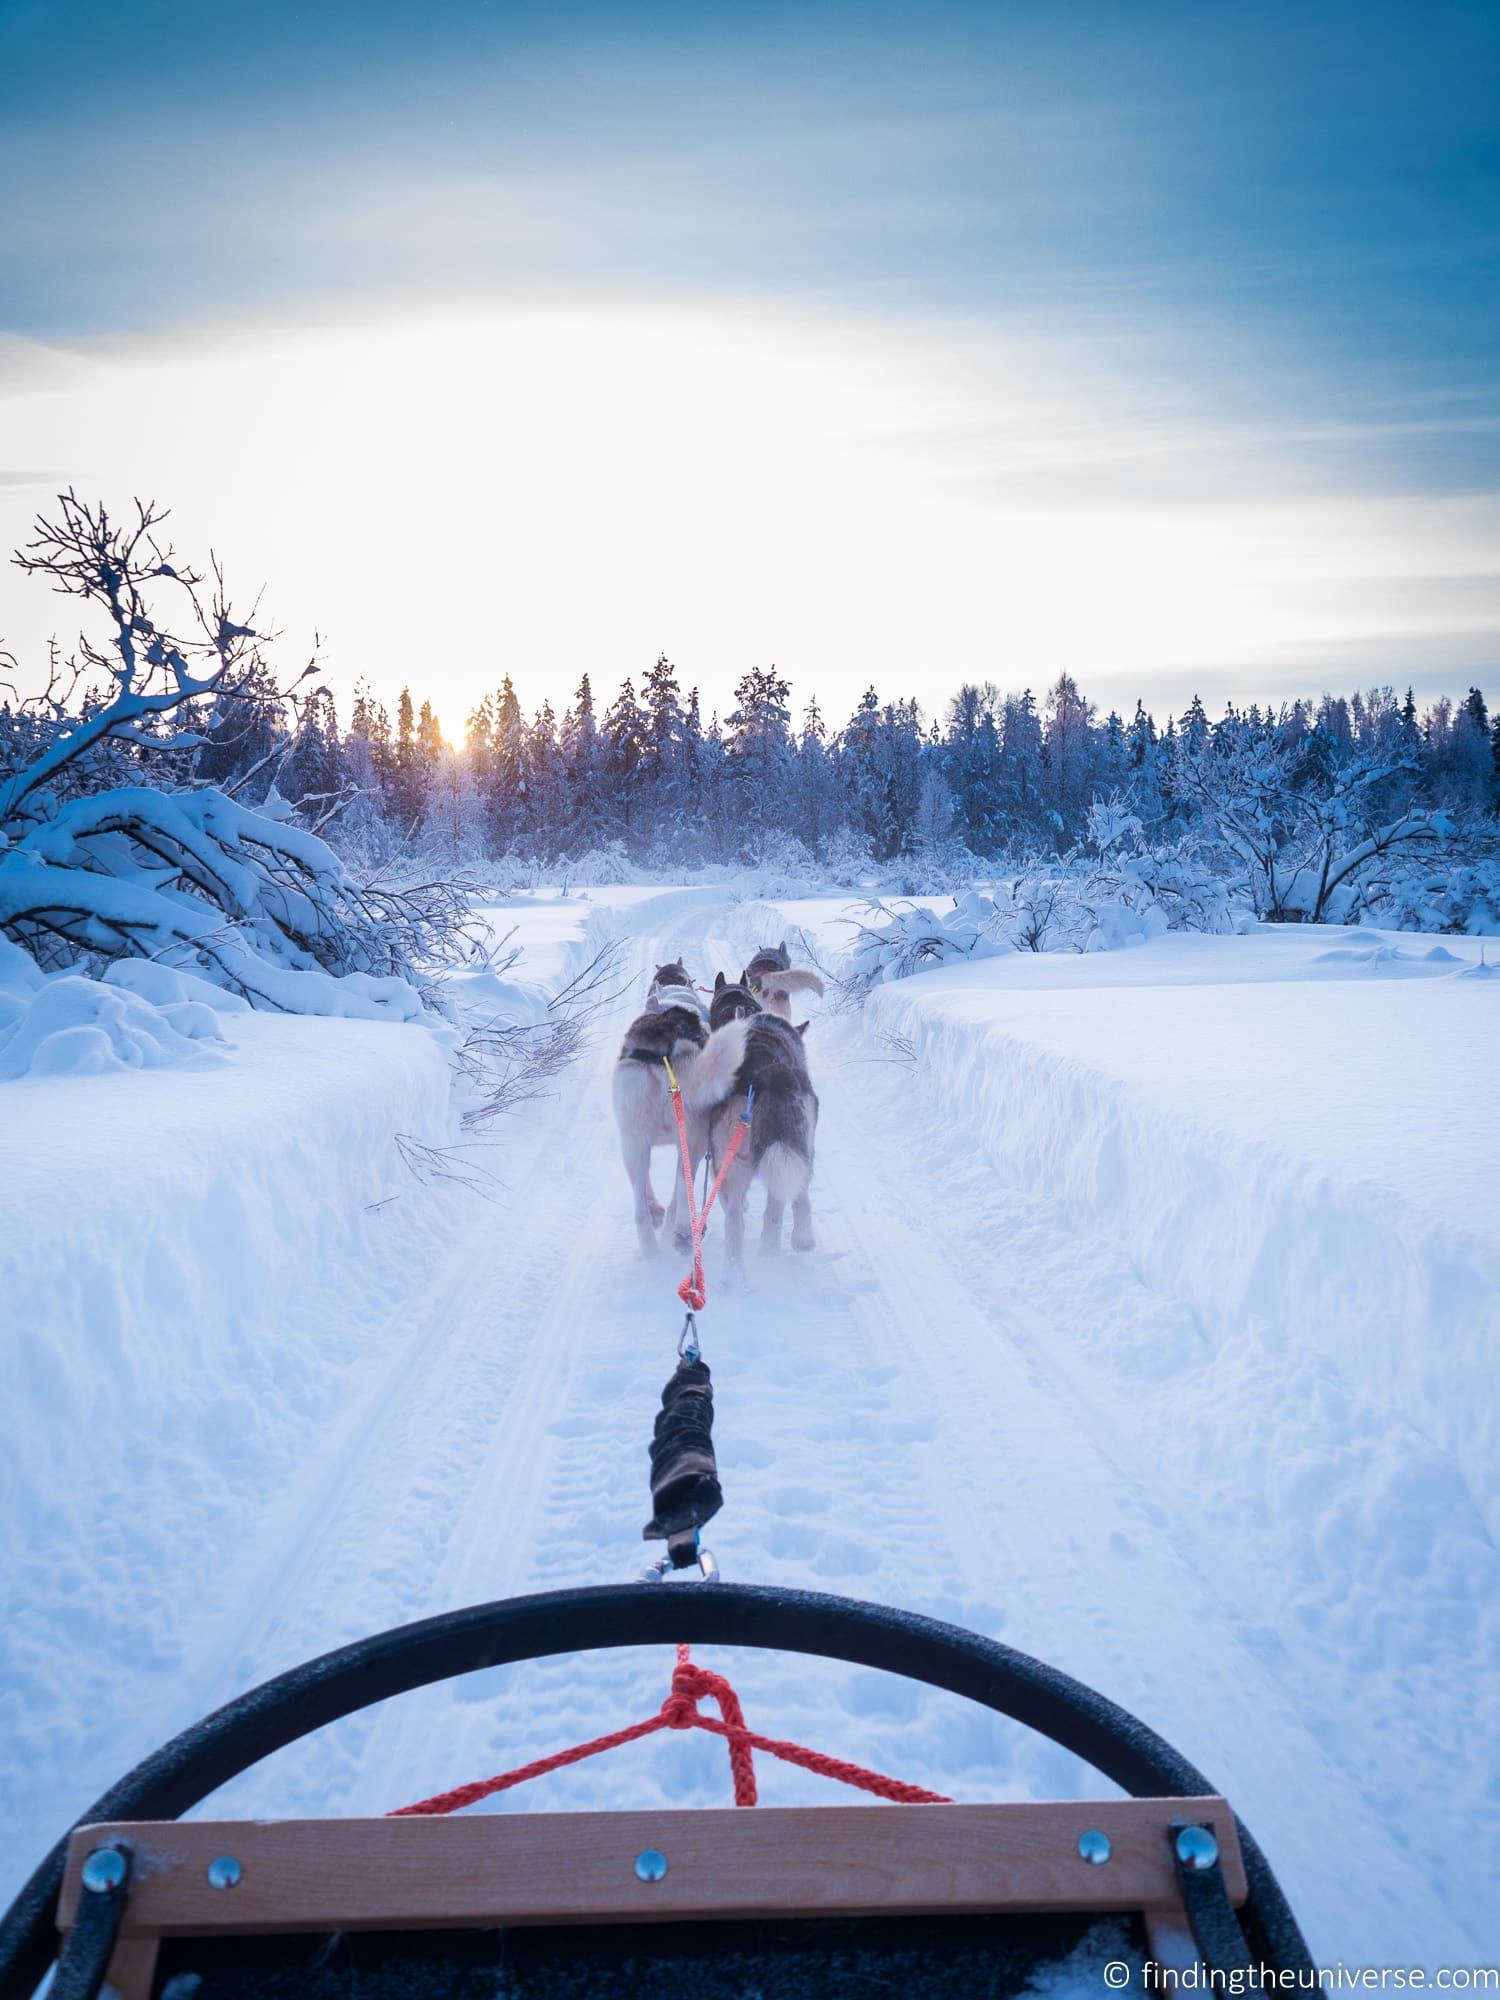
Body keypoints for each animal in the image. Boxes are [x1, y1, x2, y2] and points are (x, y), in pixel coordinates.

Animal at [616, 968, 748, 1248]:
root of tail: (664, 1058)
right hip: (691, 1142)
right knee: (680, 1191)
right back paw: (680, 1231)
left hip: (634, 1140)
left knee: (642, 1207)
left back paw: (653, 1242)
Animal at [708, 976, 816, 1256]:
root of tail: (765, 1074)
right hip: (798, 1148)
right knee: (785, 1205)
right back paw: (790, 1243)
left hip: (731, 1162)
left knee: (735, 1220)